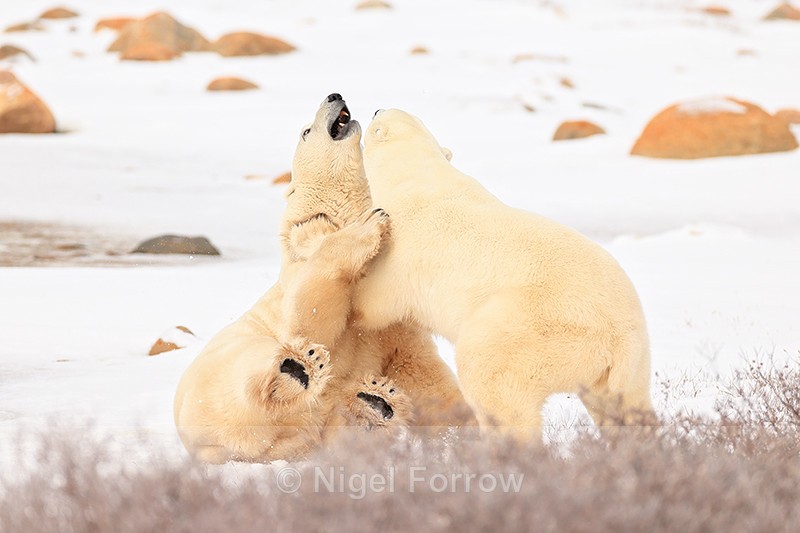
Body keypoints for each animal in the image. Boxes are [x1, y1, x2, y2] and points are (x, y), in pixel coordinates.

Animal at [174, 95, 474, 463]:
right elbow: (313, 314)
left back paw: (375, 402)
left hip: (308, 433)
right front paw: (369, 225)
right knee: (248, 374)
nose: (334, 96)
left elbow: (423, 374)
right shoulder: (301, 262)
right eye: (306, 131)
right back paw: (298, 368)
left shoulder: (397, 329)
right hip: (220, 370)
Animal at [351, 108, 655, 440]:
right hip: (629, 363)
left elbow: (373, 303)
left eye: (377, 122)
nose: (376, 109)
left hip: (532, 329)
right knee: (624, 407)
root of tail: (617, 339)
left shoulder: (404, 248)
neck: (419, 176)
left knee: (492, 383)